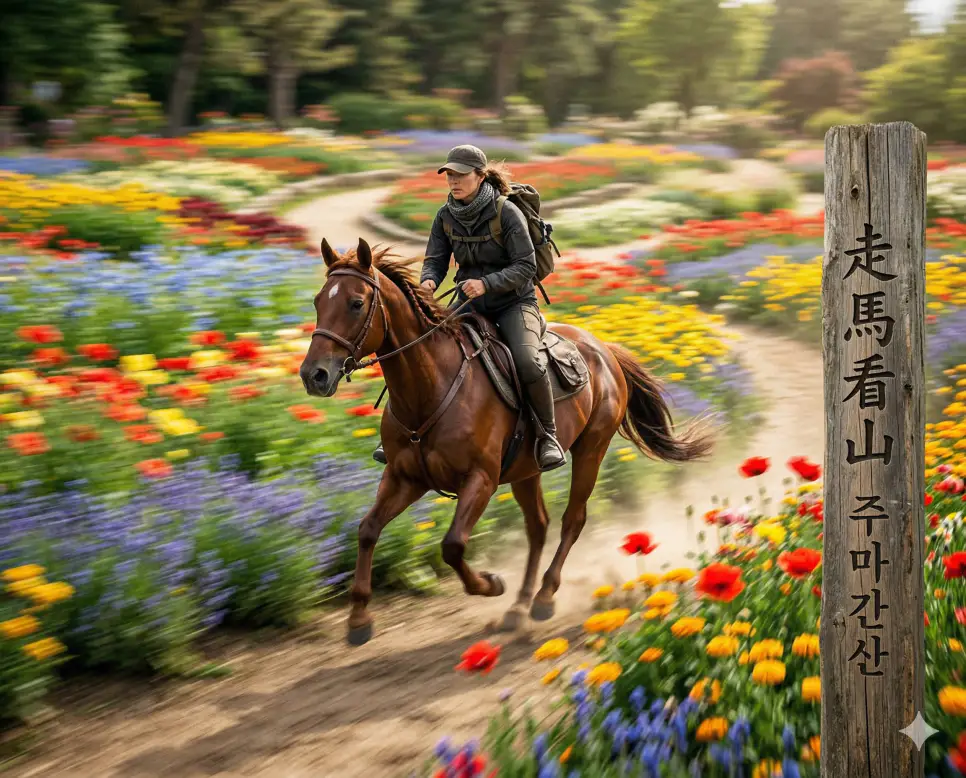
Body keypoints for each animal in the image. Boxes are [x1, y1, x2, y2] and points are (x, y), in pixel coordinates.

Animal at [299, 237, 714, 646]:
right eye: (318, 301)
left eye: (356, 303)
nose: (313, 374)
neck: (430, 388)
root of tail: (604, 349)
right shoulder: (406, 478)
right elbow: (368, 529)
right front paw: (358, 619)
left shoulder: (480, 479)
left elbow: (452, 545)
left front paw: (490, 583)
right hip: (526, 471)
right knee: (539, 526)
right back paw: (518, 608)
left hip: (591, 450)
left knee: (572, 520)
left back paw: (543, 597)